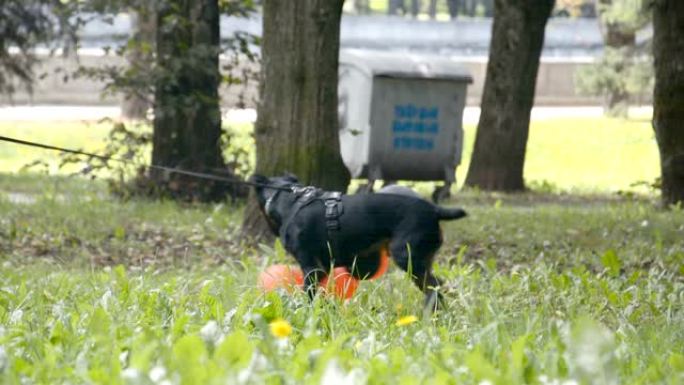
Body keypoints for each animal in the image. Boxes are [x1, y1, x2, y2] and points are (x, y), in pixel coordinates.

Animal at [254, 174, 468, 308]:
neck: (289, 199)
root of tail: (435, 210)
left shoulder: (312, 267)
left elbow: (310, 294)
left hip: (408, 258)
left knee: (435, 288)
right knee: (439, 287)